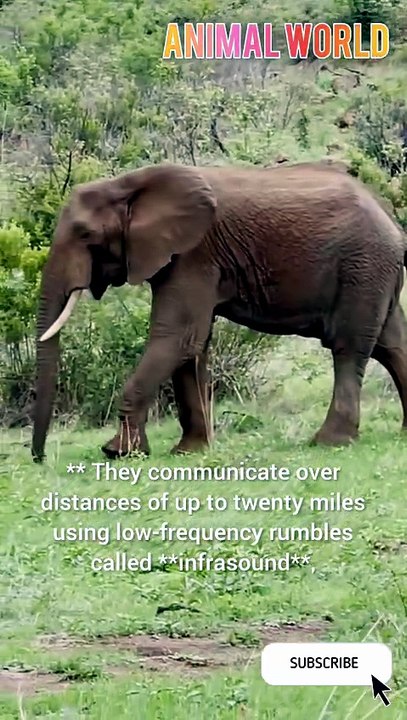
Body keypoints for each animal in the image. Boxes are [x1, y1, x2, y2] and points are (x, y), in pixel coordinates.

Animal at [32, 161, 407, 462]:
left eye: (85, 234)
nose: (39, 458)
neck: (127, 185)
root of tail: (390, 217)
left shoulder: (193, 255)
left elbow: (177, 339)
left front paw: (118, 452)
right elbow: (192, 346)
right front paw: (190, 451)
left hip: (363, 268)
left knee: (348, 347)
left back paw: (329, 443)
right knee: (392, 345)